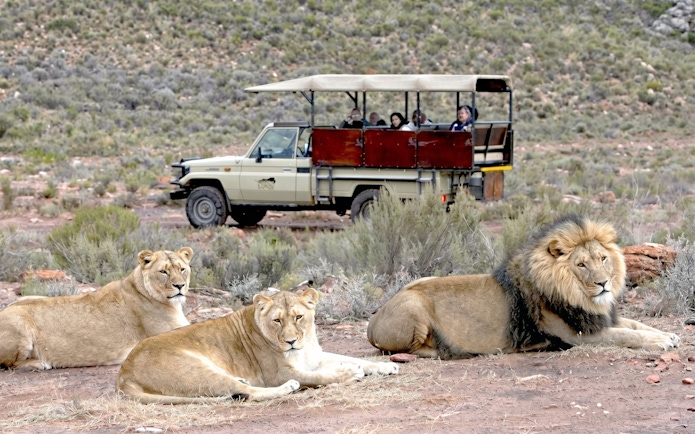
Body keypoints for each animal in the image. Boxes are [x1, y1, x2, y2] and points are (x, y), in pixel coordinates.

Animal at [0, 247, 194, 370]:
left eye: (182, 269)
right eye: (163, 271)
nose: (180, 286)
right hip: (19, 321)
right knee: (10, 364)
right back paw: (39, 363)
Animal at [116, 288, 399, 404]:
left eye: (298, 317)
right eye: (277, 320)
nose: (290, 341)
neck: (305, 344)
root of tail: (123, 373)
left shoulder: (314, 357)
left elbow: (353, 358)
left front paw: (386, 367)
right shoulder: (279, 372)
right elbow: (321, 376)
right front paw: (349, 373)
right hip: (197, 369)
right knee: (246, 393)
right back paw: (286, 388)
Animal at [367, 215, 680, 359]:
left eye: (603, 258)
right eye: (581, 265)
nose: (603, 283)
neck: (582, 298)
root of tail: (373, 320)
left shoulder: (597, 319)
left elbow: (636, 325)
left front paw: (668, 334)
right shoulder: (577, 335)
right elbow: (625, 334)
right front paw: (660, 342)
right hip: (413, 305)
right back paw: (446, 350)